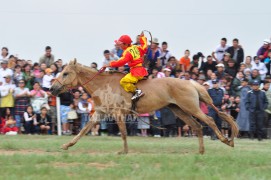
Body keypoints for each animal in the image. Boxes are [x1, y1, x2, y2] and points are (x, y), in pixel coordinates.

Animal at [50, 59, 238, 155]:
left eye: (65, 73)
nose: (52, 88)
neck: (103, 85)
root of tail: (190, 82)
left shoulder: (118, 113)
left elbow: (123, 133)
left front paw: (124, 151)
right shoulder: (101, 113)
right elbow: (83, 130)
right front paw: (67, 145)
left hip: (191, 108)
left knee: (210, 121)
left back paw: (227, 141)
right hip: (179, 110)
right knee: (198, 126)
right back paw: (200, 151)